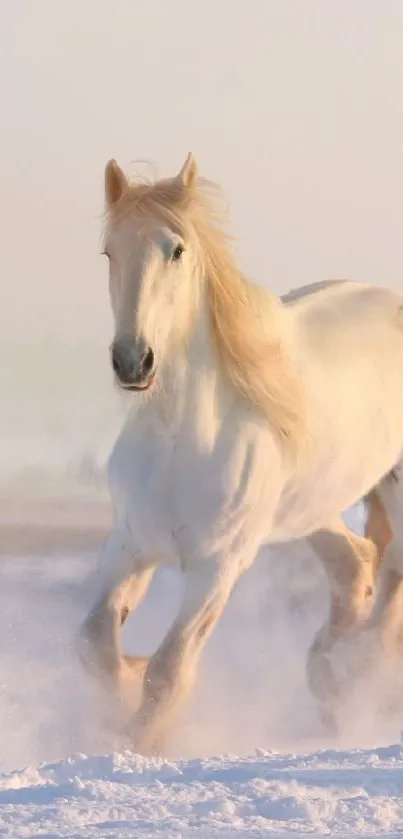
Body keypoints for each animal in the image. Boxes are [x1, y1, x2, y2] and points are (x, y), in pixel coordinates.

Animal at [79, 154, 403, 752]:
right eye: (109, 251)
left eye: (176, 250)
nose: (133, 361)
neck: (180, 440)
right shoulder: (131, 544)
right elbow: (95, 645)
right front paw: (119, 700)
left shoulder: (217, 568)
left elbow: (169, 670)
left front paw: (138, 743)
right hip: (311, 508)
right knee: (355, 565)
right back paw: (327, 678)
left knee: (389, 571)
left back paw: (354, 678)